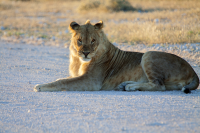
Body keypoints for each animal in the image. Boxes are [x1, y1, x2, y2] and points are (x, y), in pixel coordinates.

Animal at [33, 20, 199, 93]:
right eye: (79, 40)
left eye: (93, 40)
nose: (86, 53)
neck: (78, 61)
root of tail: (194, 71)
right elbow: (61, 79)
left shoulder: (91, 81)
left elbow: (63, 82)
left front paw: (40, 86)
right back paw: (125, 85)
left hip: (148, 54)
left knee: (159, 85)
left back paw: (131, 86)